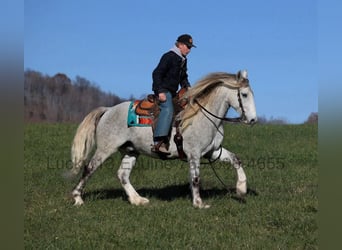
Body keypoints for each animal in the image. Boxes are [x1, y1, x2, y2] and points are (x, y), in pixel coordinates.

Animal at [70, 70, 256, 207]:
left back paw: (137, 200)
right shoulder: (194, 154)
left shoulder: (213, 151)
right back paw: (77, 198)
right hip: (105, 148)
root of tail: (108, 110)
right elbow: (195, 178)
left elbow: (236, 160)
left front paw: (241, 189)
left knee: (122, 174)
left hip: (131, 151)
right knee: (89, 169)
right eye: (244, 94)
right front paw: (199, 203)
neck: (202, 115)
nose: (253, 120)